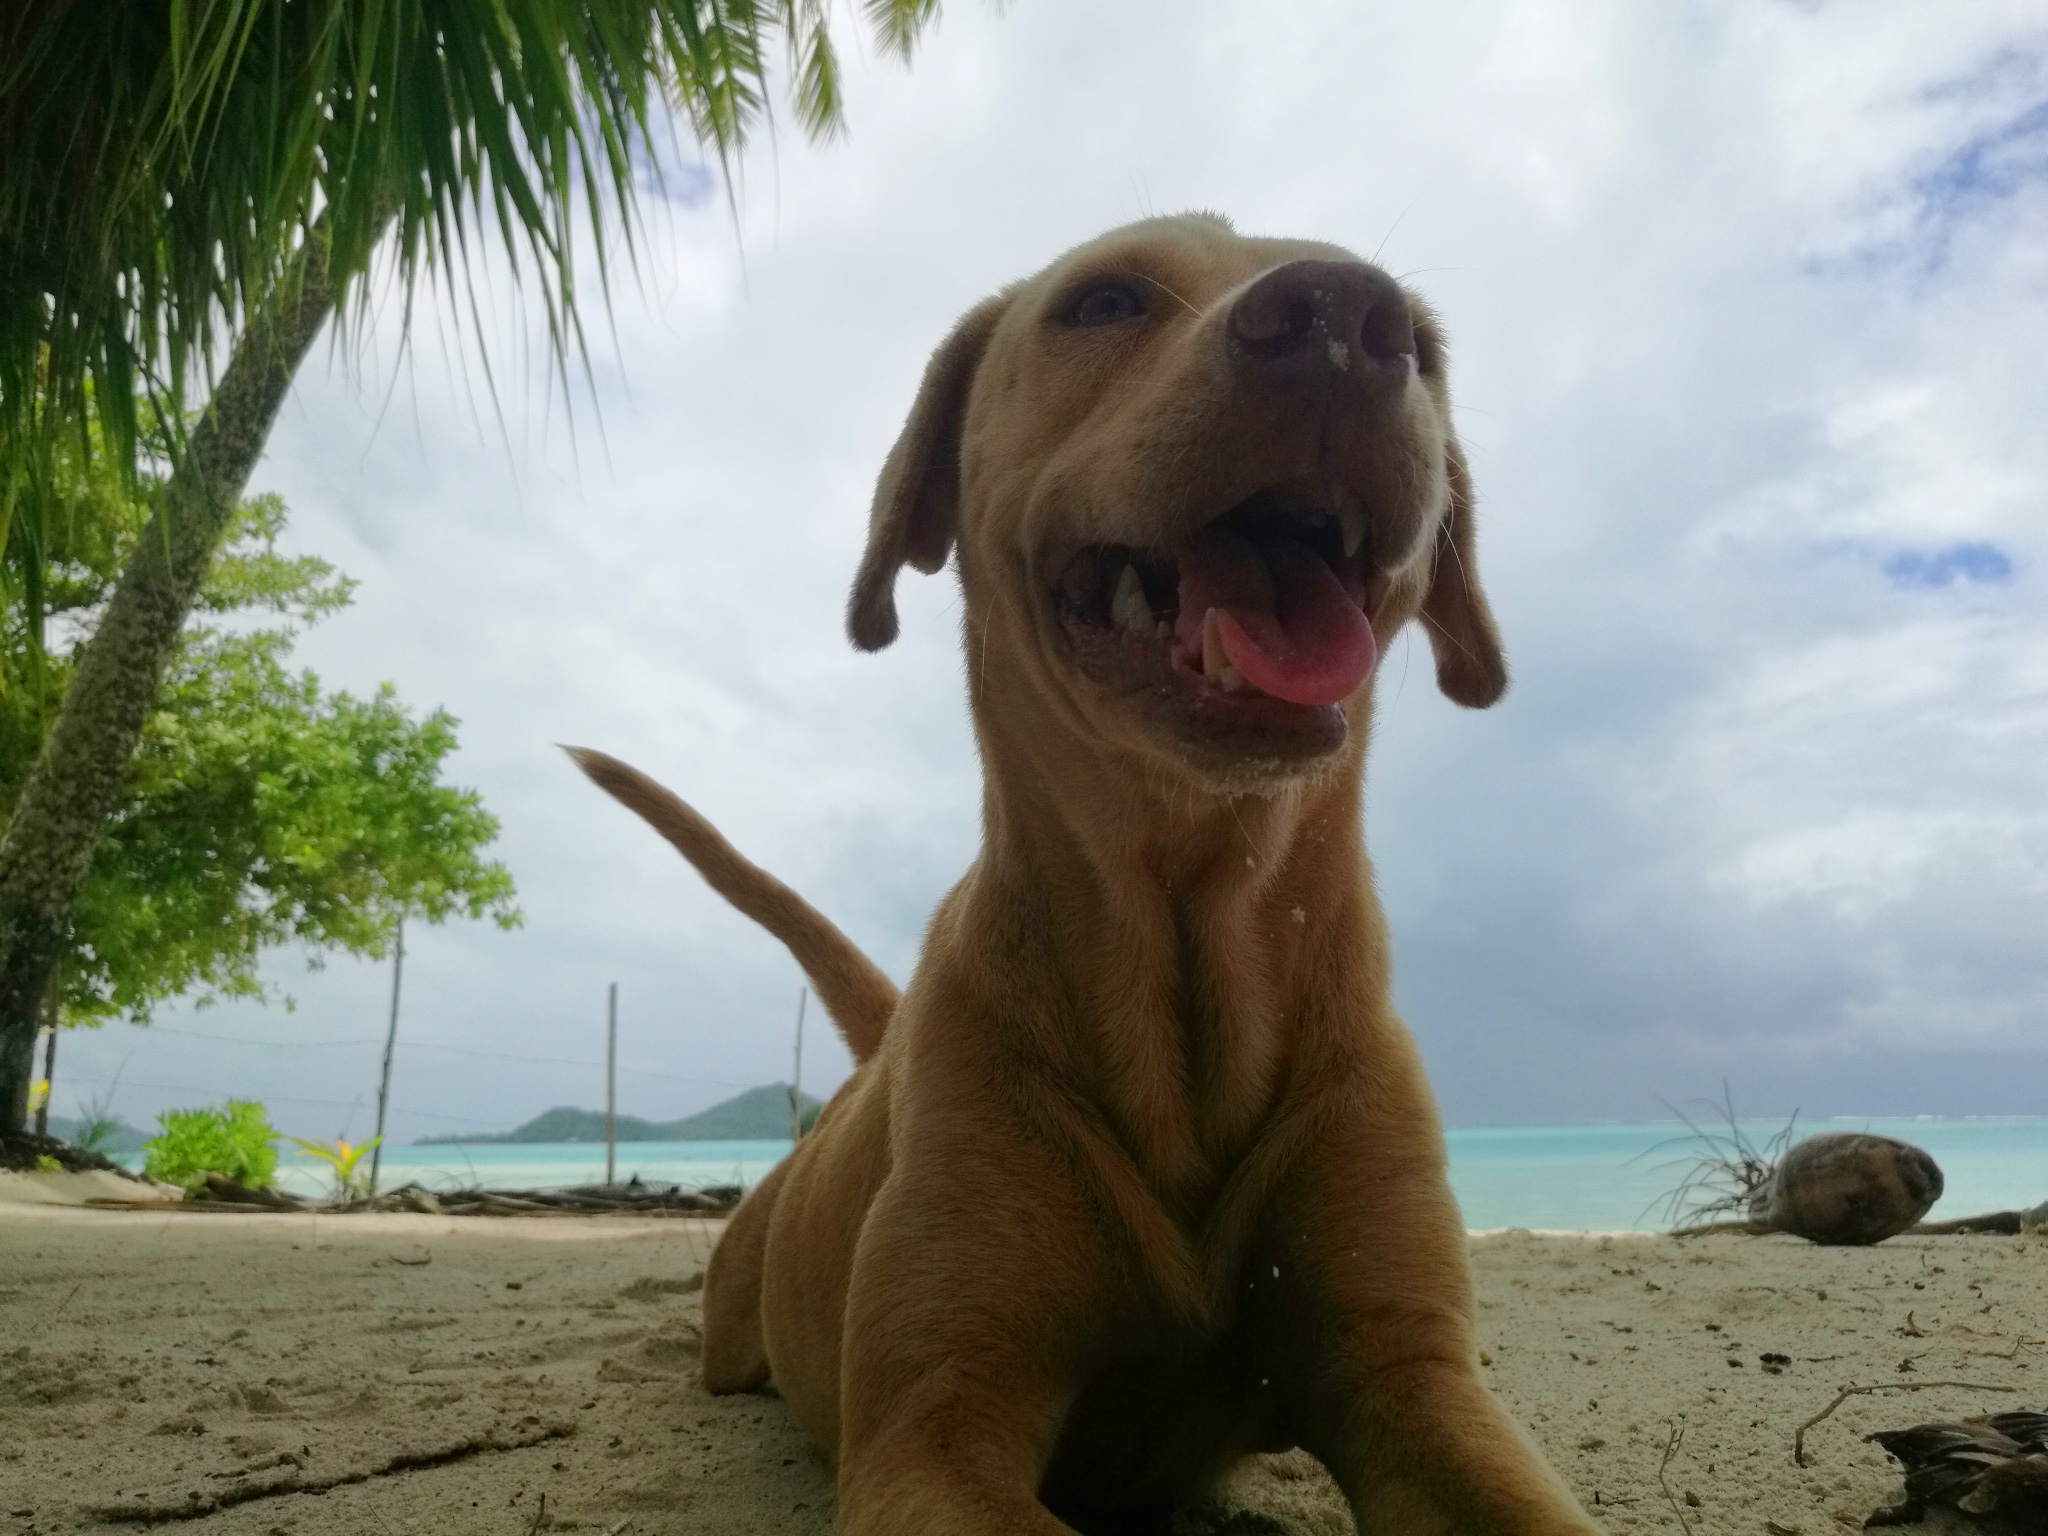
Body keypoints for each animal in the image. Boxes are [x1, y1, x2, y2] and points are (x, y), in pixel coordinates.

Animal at [577, 217, 1597, 1536]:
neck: (1187, 923)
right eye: (1104, 300)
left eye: (1420, 346)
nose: (1346, 318)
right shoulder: (932, 1431)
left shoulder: (1414, 1379)